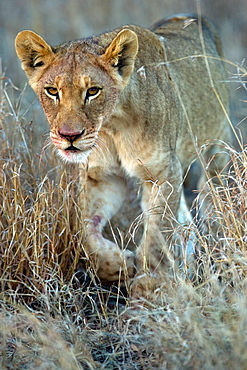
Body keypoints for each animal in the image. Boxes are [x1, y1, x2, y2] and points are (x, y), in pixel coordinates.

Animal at [15, 12, 231, 292]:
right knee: (186, 222)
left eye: (93, 91)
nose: (69, 136)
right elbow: (85, 234)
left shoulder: (162, 173)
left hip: (217, 149)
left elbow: (156, 236)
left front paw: (148, 287)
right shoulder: (101, 177)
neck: (113, 125)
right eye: (53, 91)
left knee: (211, 196)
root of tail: (194, 16)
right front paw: (121, 265)